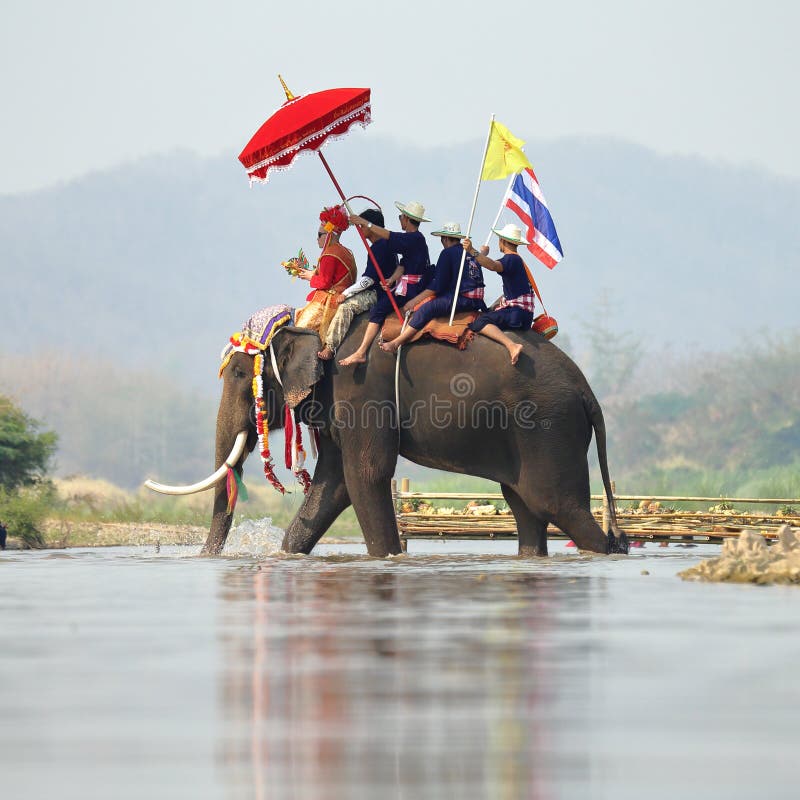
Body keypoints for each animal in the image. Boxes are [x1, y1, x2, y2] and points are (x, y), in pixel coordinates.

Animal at [147, 310, 628, 560]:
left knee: (557, 505)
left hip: (548, 428)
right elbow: (334, 484)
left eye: (239, 374)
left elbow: (365, 475)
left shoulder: (359, 385)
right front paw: (288, 555)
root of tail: (588, 392)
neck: (318, 323)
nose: (206, 558)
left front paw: (387, 561)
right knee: (525, 507)